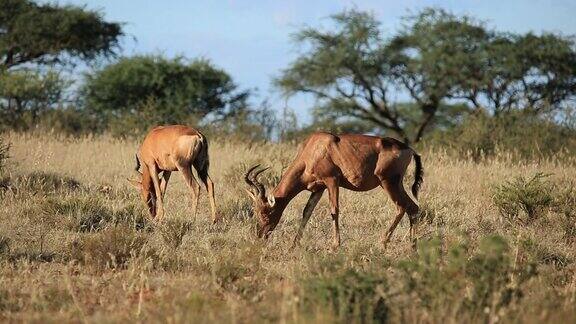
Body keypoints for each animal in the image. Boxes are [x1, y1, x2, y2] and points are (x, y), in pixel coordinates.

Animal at [243, 132, 424, 248]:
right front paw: (294, 245)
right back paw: (412, 245)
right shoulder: (318, 188)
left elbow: (334, 210)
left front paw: (335, 245)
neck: (316, 147)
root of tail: (409, 149)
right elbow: (307, 212)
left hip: (388, 182)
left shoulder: (332, 181)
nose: (261, 236)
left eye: (267, 213)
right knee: (413, 208)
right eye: (257, 211)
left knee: (402, 207)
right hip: (396, 184)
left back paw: (383, 242)